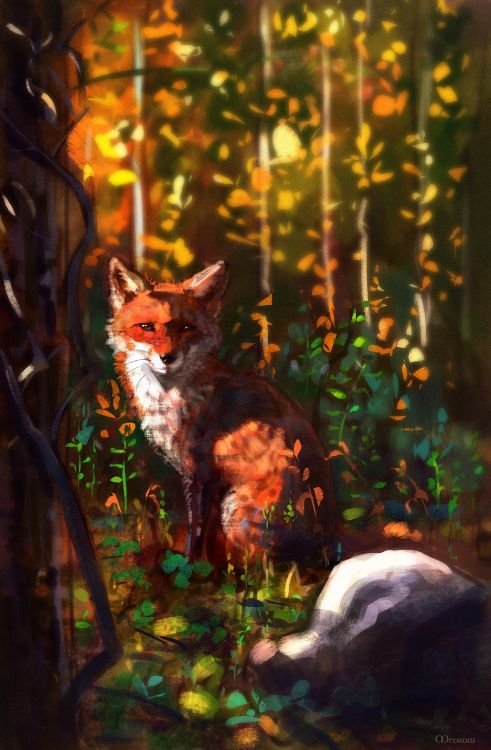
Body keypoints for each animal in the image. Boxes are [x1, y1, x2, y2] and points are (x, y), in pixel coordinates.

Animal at [106, 257, 337, 567]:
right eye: (146, 327)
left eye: (186, 328)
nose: (168, 357)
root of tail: (328, 545)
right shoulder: (205, 480)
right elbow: (204, 534)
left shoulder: (200, 473)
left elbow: (196, 531)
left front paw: (190, 566)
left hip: (236, 509)